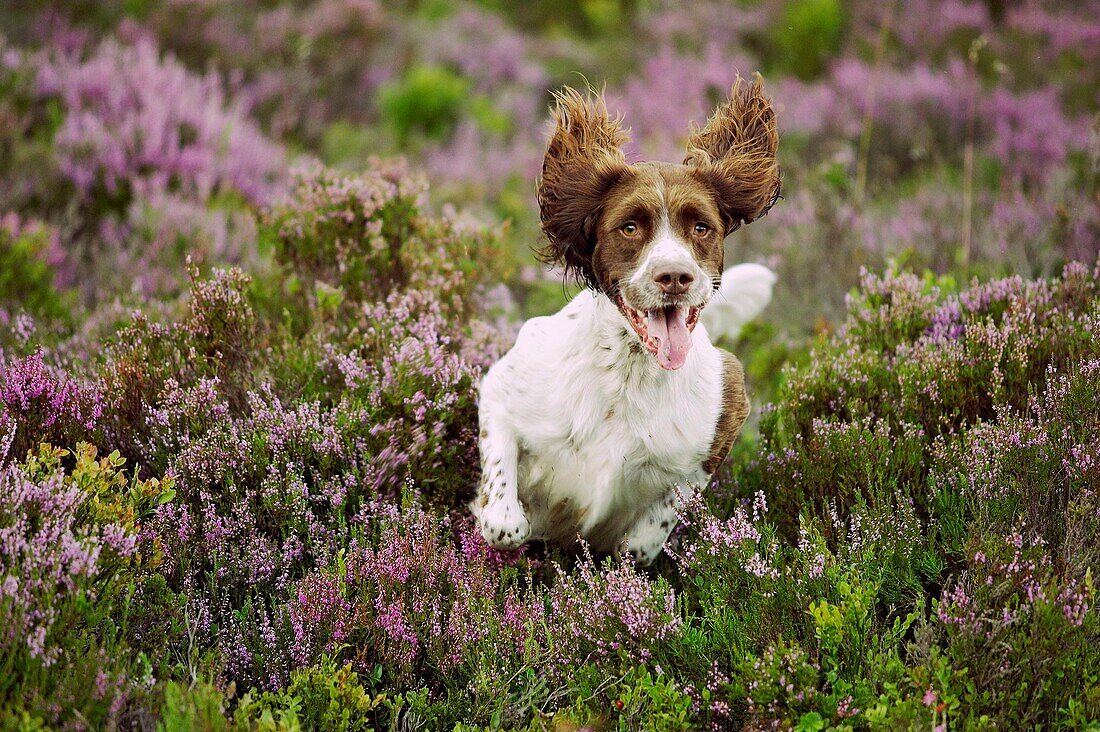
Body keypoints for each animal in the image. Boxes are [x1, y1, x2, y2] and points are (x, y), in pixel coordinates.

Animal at [473, 74, 783, 561]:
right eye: (630, 227)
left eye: (701, 227)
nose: (674, 277)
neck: (629, 373)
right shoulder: (502, 391)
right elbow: (505, 521)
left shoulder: (721, 420)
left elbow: (642, 540)